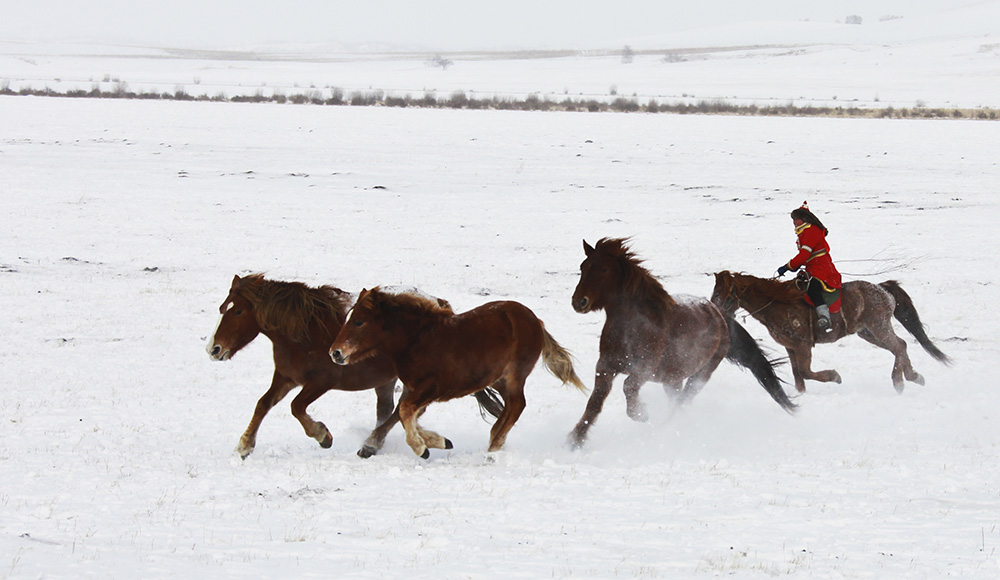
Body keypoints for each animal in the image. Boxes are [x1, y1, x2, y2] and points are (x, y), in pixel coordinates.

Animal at [205, 274, 500, 460]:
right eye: (222, 308)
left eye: (238, 311)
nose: (214, 349)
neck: (304, 332)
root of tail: (441, 307)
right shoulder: (285, 378)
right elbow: (263, 404)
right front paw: (244, 446)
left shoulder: (321, 381)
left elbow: (296, 407)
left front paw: (322, 435)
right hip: (388, 380)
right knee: (393, 410)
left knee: (401, 411)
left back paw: (373, 444)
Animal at [328, 288, 584, 460]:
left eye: (359, 322)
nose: (335, 353)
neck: (417, 341)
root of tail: (535, 320)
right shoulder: (415, 389)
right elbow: (404, 414)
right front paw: (439, 441)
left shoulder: (432, 388)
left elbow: (405, 412)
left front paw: (421, 448)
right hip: (498, 379)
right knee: (510, 406)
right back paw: (494, 438)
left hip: (514, 375)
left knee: (517, 404)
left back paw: (494, 448)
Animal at [572, 238, 796, 446]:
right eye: (583, 267)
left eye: (604, 269)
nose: (578, 302)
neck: (633, 325)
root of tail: (719, 314)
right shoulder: (605, 367)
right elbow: (594, 403)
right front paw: (575, 440)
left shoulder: (644, 368)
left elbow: (628, 386)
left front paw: (641, 414)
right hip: (673, 378)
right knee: (676, 400)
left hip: (701, 374)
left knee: (682, 401)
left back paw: (666, 428)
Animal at [712, 270, 952, 392]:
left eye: (720, 293)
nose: (713, 308)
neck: (779, 303)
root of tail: (883, 289)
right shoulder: (791, 347)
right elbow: (798, 376)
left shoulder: (802, 345)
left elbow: (806, 372)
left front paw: (834, 377)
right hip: (868, 332)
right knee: (899, 346)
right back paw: (912, 377)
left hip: (878, 327)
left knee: (898, 345)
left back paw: (901, 381)